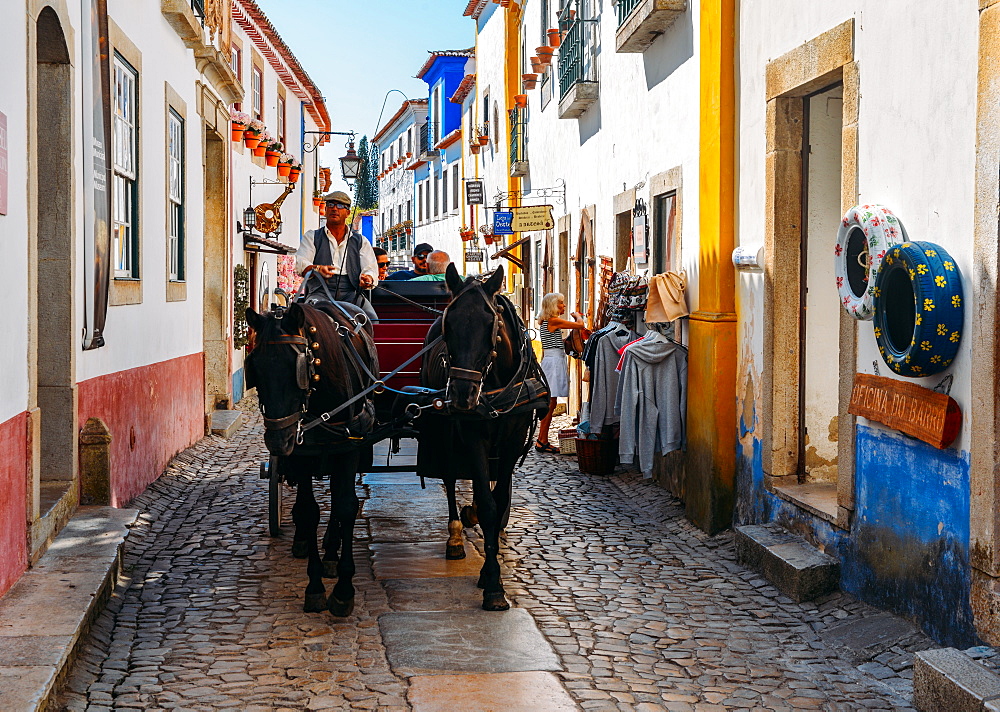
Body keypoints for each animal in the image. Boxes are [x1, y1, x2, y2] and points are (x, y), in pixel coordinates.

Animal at [246, 298, 378, 616]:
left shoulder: (349, 450)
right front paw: (315, 587)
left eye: (298, 370)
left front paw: (343, 589)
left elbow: (345, 506)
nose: (278, 441)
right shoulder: (302, 455)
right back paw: (307, 543)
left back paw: (331, 550)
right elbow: (308, 511)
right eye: (255, 368)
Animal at [418, 264, 552, 608]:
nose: (463, 394)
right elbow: (489, 507)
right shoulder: (473, 437)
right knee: (450, 476)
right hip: (445, 431)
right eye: (449, 323)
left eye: (491, 323)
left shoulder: (512, 442)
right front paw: (493, 583)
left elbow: (499, 499)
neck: (497, 382)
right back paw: (455, 535)